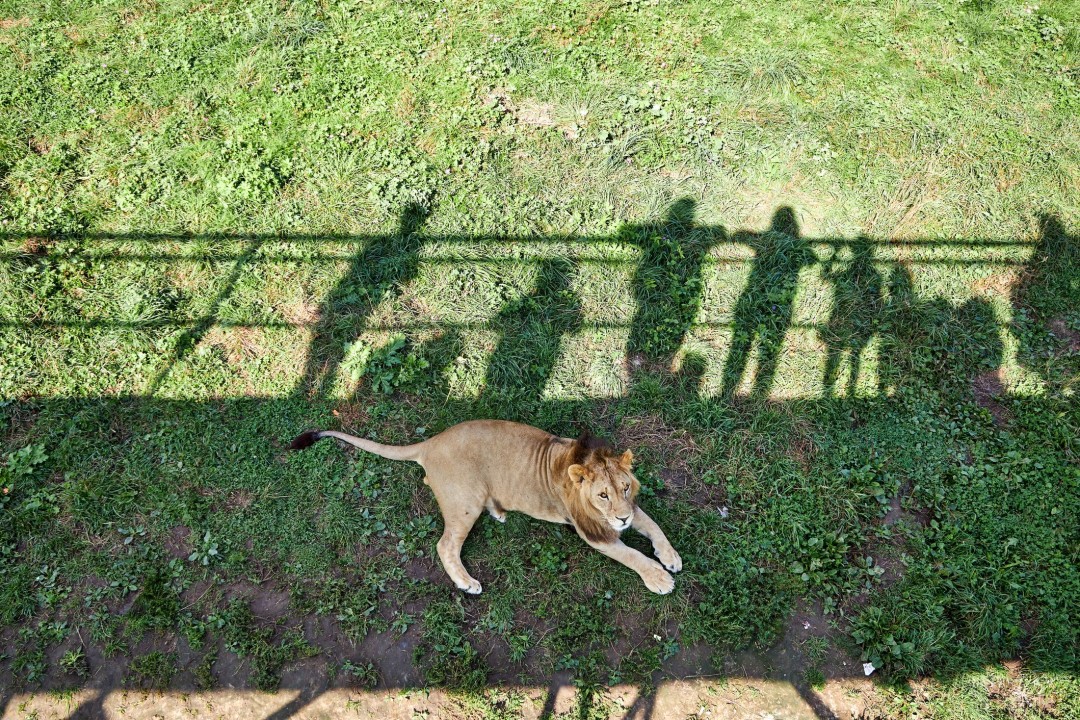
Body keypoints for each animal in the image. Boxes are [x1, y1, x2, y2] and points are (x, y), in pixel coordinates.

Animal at [290, 420, 682, 594]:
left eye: (625, 487)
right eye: (602, 495)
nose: (621, 517)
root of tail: (431, 443)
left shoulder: (629, 511)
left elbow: (654, 526)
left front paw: (671, 557)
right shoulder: (593, 531)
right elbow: (632, 554)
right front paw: (660, 577)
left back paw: (500, 511)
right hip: (466, 501)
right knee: (445, 545)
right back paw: (467, 583)